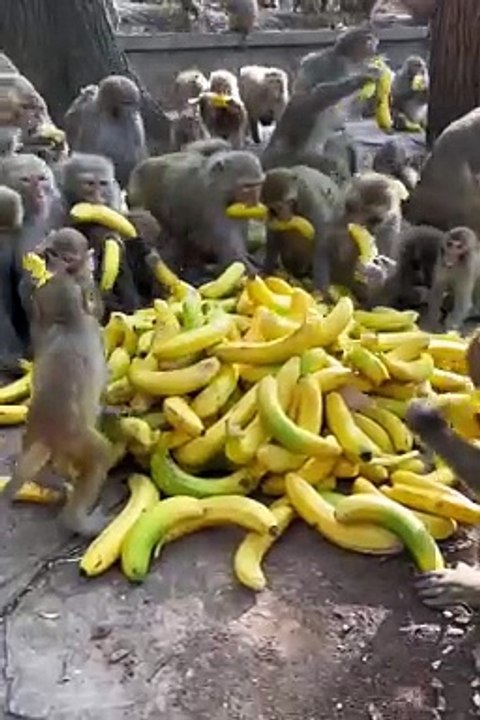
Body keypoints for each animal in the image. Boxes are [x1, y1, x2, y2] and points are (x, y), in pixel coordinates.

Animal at [2, 269, 112, 538]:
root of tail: (46, 432)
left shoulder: (44, 329)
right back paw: (77, 521)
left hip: (39, 437)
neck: (66, 323)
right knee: (100, 455)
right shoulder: (93, 332)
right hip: (77, 438)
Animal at [128, 148, 265, 282]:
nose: (253, 202)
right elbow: (227, 247)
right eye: (247, 187)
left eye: (257, 185)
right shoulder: (211, 201)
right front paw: (248, 269)